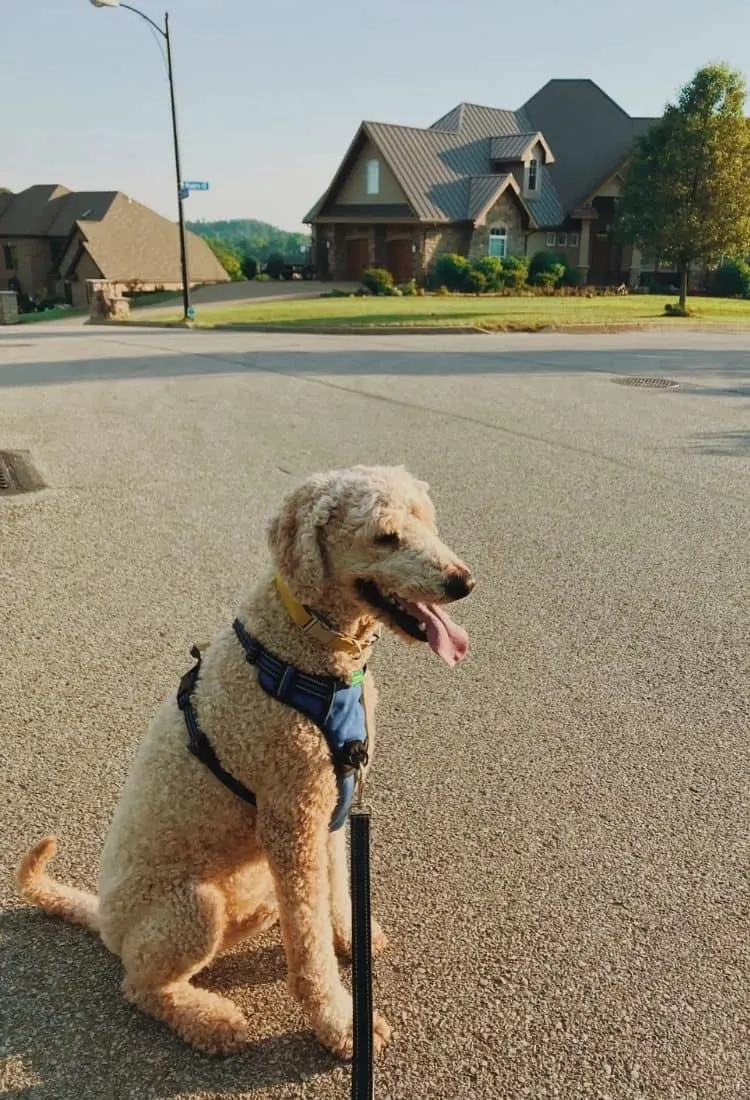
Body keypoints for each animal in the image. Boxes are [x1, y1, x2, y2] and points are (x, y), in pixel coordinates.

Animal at [16, 462, 472, 1056]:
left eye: (428, 521)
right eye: (385, 537)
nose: (464, 582)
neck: (308, 646)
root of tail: (105, 921)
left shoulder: (327, 806)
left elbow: (335, 889)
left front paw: (349, 936)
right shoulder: (291, 819)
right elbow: (309, 951)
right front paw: (341, 1023)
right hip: (192, 907)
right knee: (140, 985)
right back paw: (210, 1019)